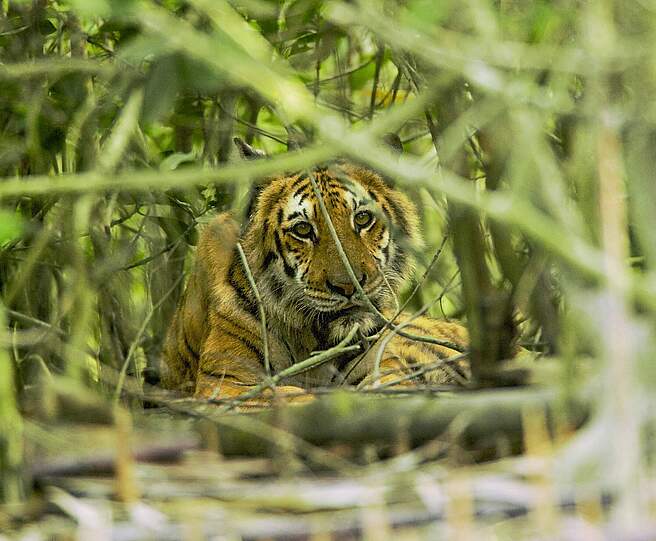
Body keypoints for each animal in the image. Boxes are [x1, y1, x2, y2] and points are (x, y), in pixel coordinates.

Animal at [160, 138, 470, 403]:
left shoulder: (385, 370)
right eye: (303, 229)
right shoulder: (229, 383)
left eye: (362, 218)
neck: (311, 338)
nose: (349, 285)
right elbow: (291, 396)